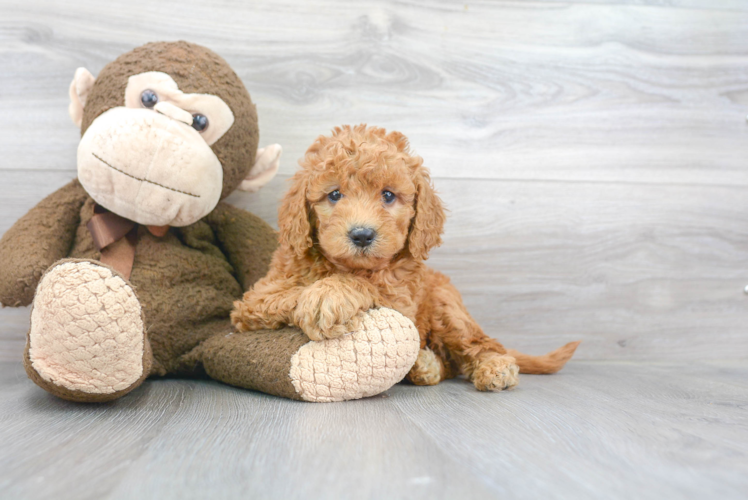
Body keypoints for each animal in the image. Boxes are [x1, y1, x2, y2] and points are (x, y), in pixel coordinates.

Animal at [231, 124, 580, 390]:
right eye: (334, 194)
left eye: (388, 195)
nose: (362, 235)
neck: (349, 266)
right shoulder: (254, 301)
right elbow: (286, 293)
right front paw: (321, 294)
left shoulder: (401, 302)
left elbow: (366, 287)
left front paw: (330, 295)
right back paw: (426, 366)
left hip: (447, 309)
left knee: (482, 344)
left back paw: (494, 368)